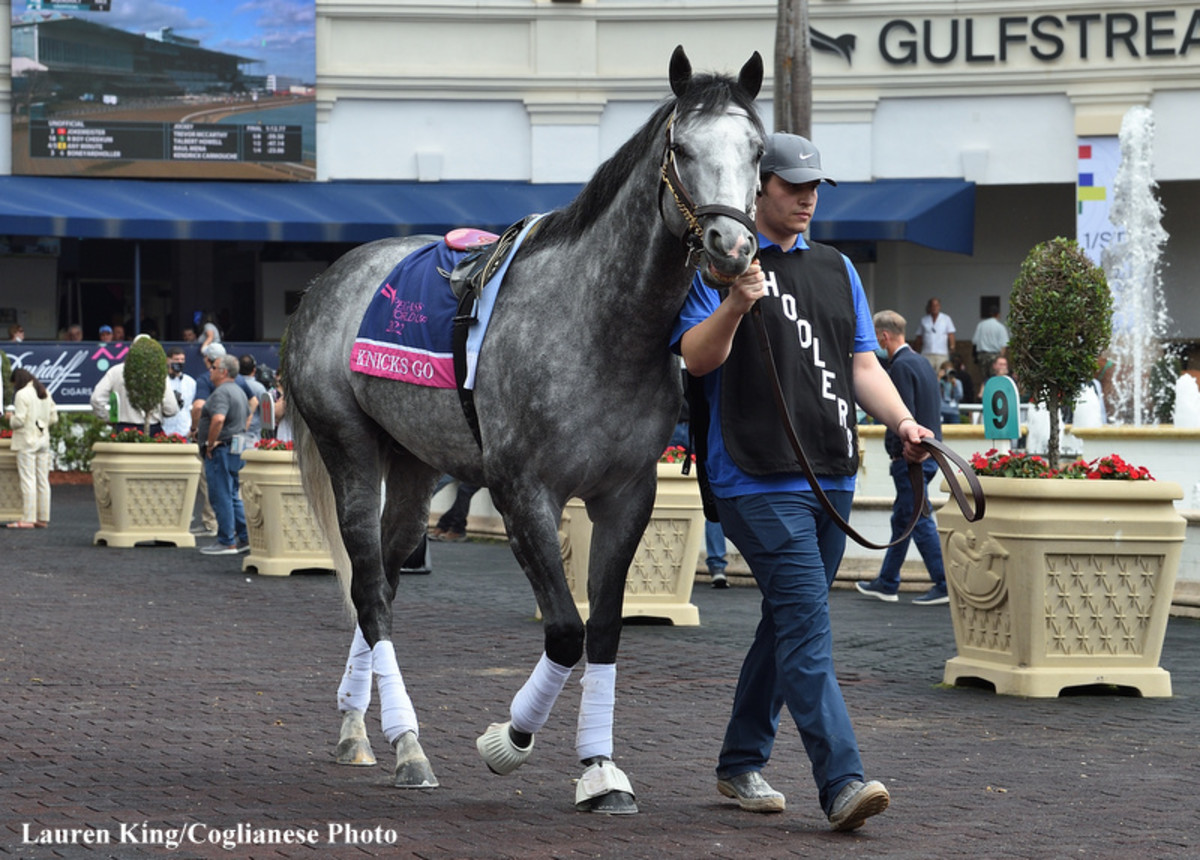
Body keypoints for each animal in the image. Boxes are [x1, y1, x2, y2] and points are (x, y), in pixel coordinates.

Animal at [284, 46, 765, 814]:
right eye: (681, 149)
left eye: (756, 150)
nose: (731, 247)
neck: (597, 324)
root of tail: (329, 282)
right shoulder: (522, 494)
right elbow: (566, 631)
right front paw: (509, 740)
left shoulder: (628, 496)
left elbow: (604, 629)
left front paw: (600, 767)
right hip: (351, 449)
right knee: (368, 590)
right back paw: (408, 746)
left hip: (413, 463)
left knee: (382, 578)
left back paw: (360, 730)